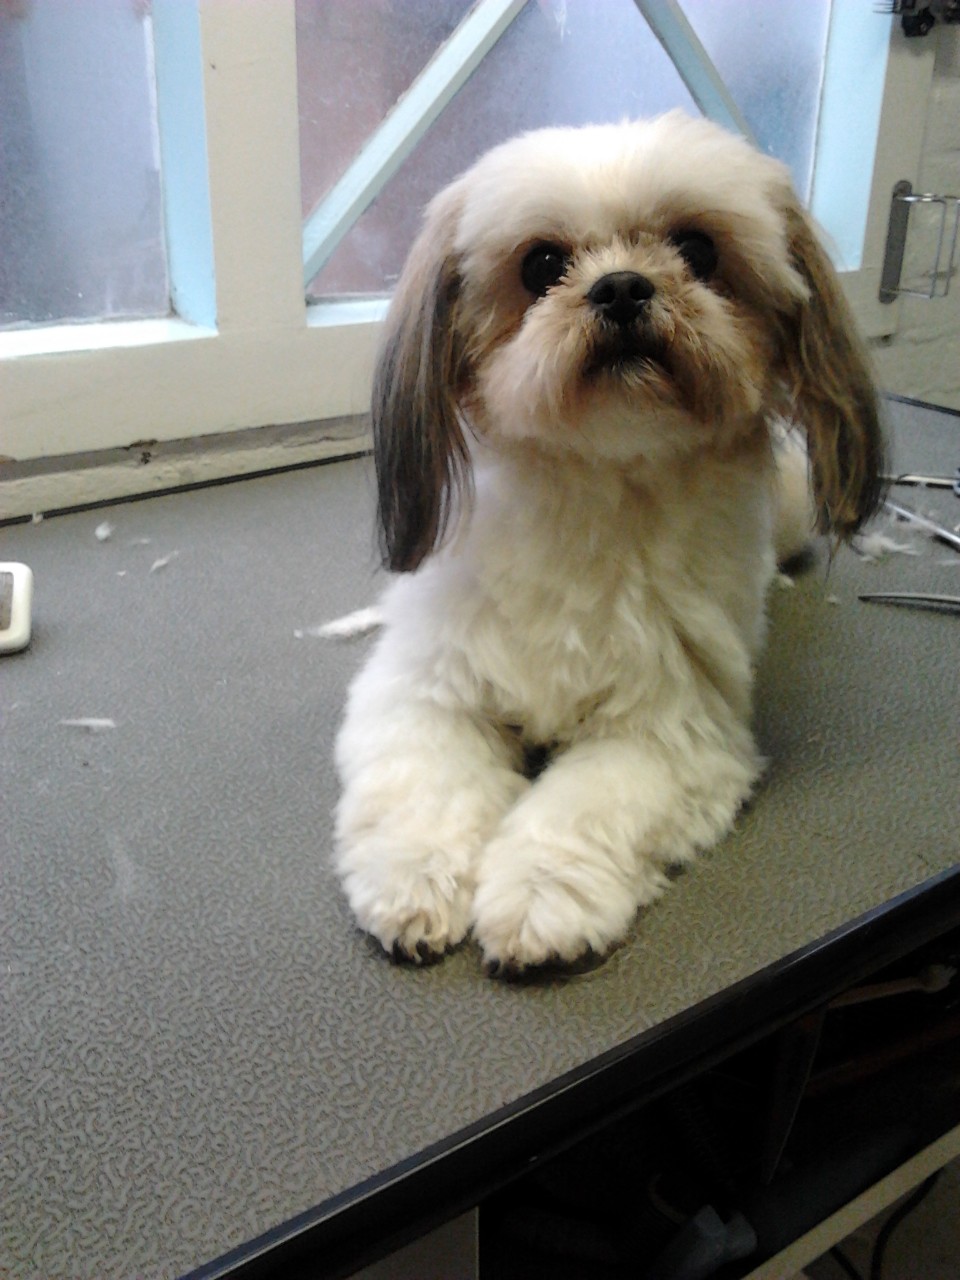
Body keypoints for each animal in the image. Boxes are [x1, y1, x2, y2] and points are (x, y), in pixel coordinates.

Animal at [331, 112, 884, 977]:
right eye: (542, 264)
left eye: (698, 249)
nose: (622, 285)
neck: (592, 495)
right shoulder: (425, 689)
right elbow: (424, 787)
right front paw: (413, 877)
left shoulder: (671, 726)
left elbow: (583, 810)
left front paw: (538, 896)